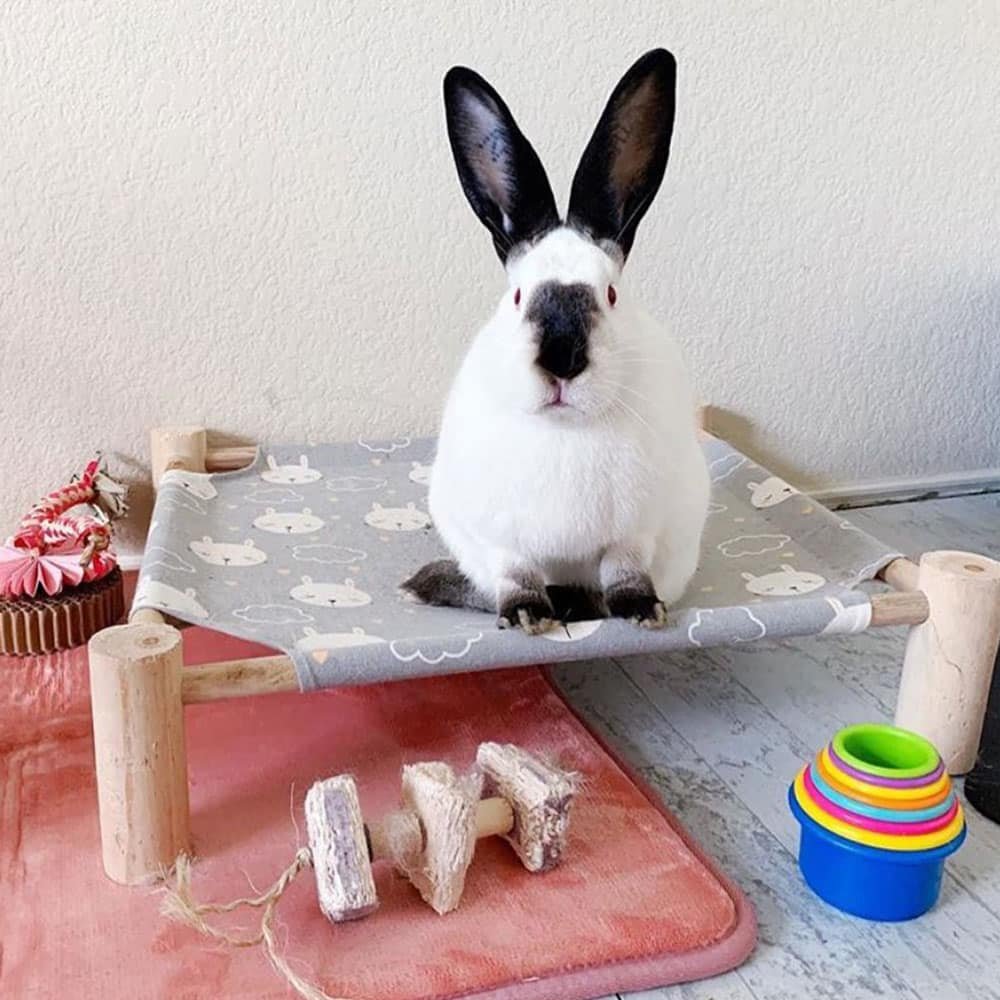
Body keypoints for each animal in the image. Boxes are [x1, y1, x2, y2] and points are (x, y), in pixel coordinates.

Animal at [403, 49, 709, 633]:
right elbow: (516, 575)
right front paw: (527, 616)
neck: (567, 428)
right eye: (518, 295)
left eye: (610, 294)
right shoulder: (498, 538)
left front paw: (643, 611)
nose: (563, 361)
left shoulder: (635, 532)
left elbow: (624, 571)